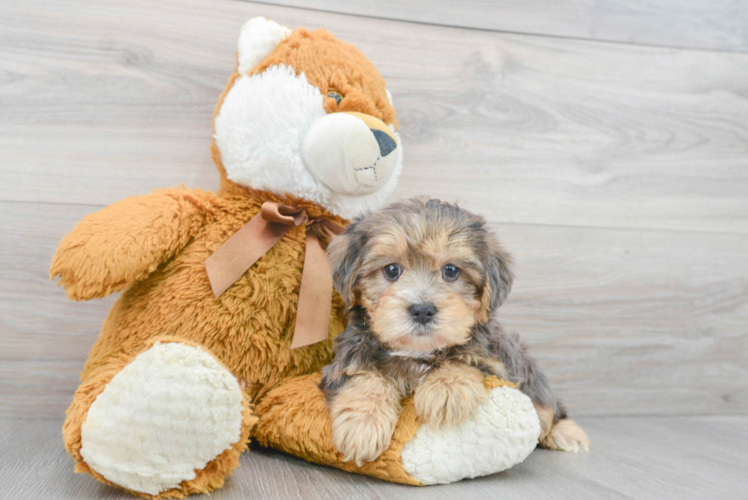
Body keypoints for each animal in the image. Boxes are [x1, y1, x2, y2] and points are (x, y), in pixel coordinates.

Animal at [322, 198, 592, 464]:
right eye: (391, 270)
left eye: (451, 271)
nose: (422, 310)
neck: (418, 351)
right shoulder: (345, 360)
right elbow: (363, 376)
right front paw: (362, 422)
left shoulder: (496, 365)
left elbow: (465, 360)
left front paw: (446, 388)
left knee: (548, 410)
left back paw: (567, 433)